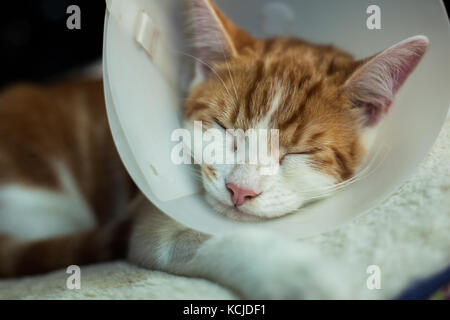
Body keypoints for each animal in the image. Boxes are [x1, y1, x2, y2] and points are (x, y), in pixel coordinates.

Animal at [0, 0, 428, 300]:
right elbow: (209, 239)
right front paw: (301, 275)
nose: (241, 190)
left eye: (299, 152)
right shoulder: (149, 223)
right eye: (224, 129)